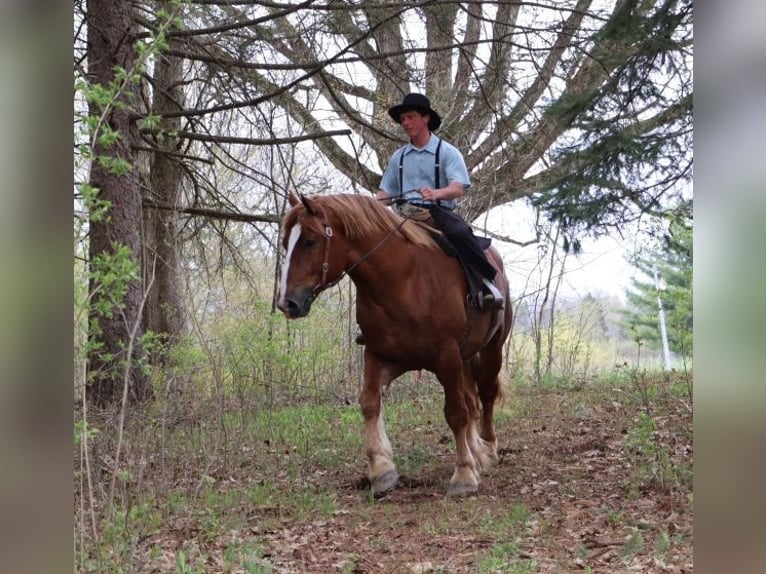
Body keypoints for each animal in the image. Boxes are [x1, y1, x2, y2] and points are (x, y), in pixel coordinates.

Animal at [276, 192, 512, 496]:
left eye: (309, 241)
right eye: (286, 242)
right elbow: (369, 403)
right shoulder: (382, 355)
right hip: (465, 357)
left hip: (491, 348)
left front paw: (463, 475)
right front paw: (382, 470)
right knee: (473, 400)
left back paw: (489, 448)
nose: (287, 303)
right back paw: (477, 452)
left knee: (485, 395)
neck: (402, 280)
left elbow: (456, 413)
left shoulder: (446, 356)